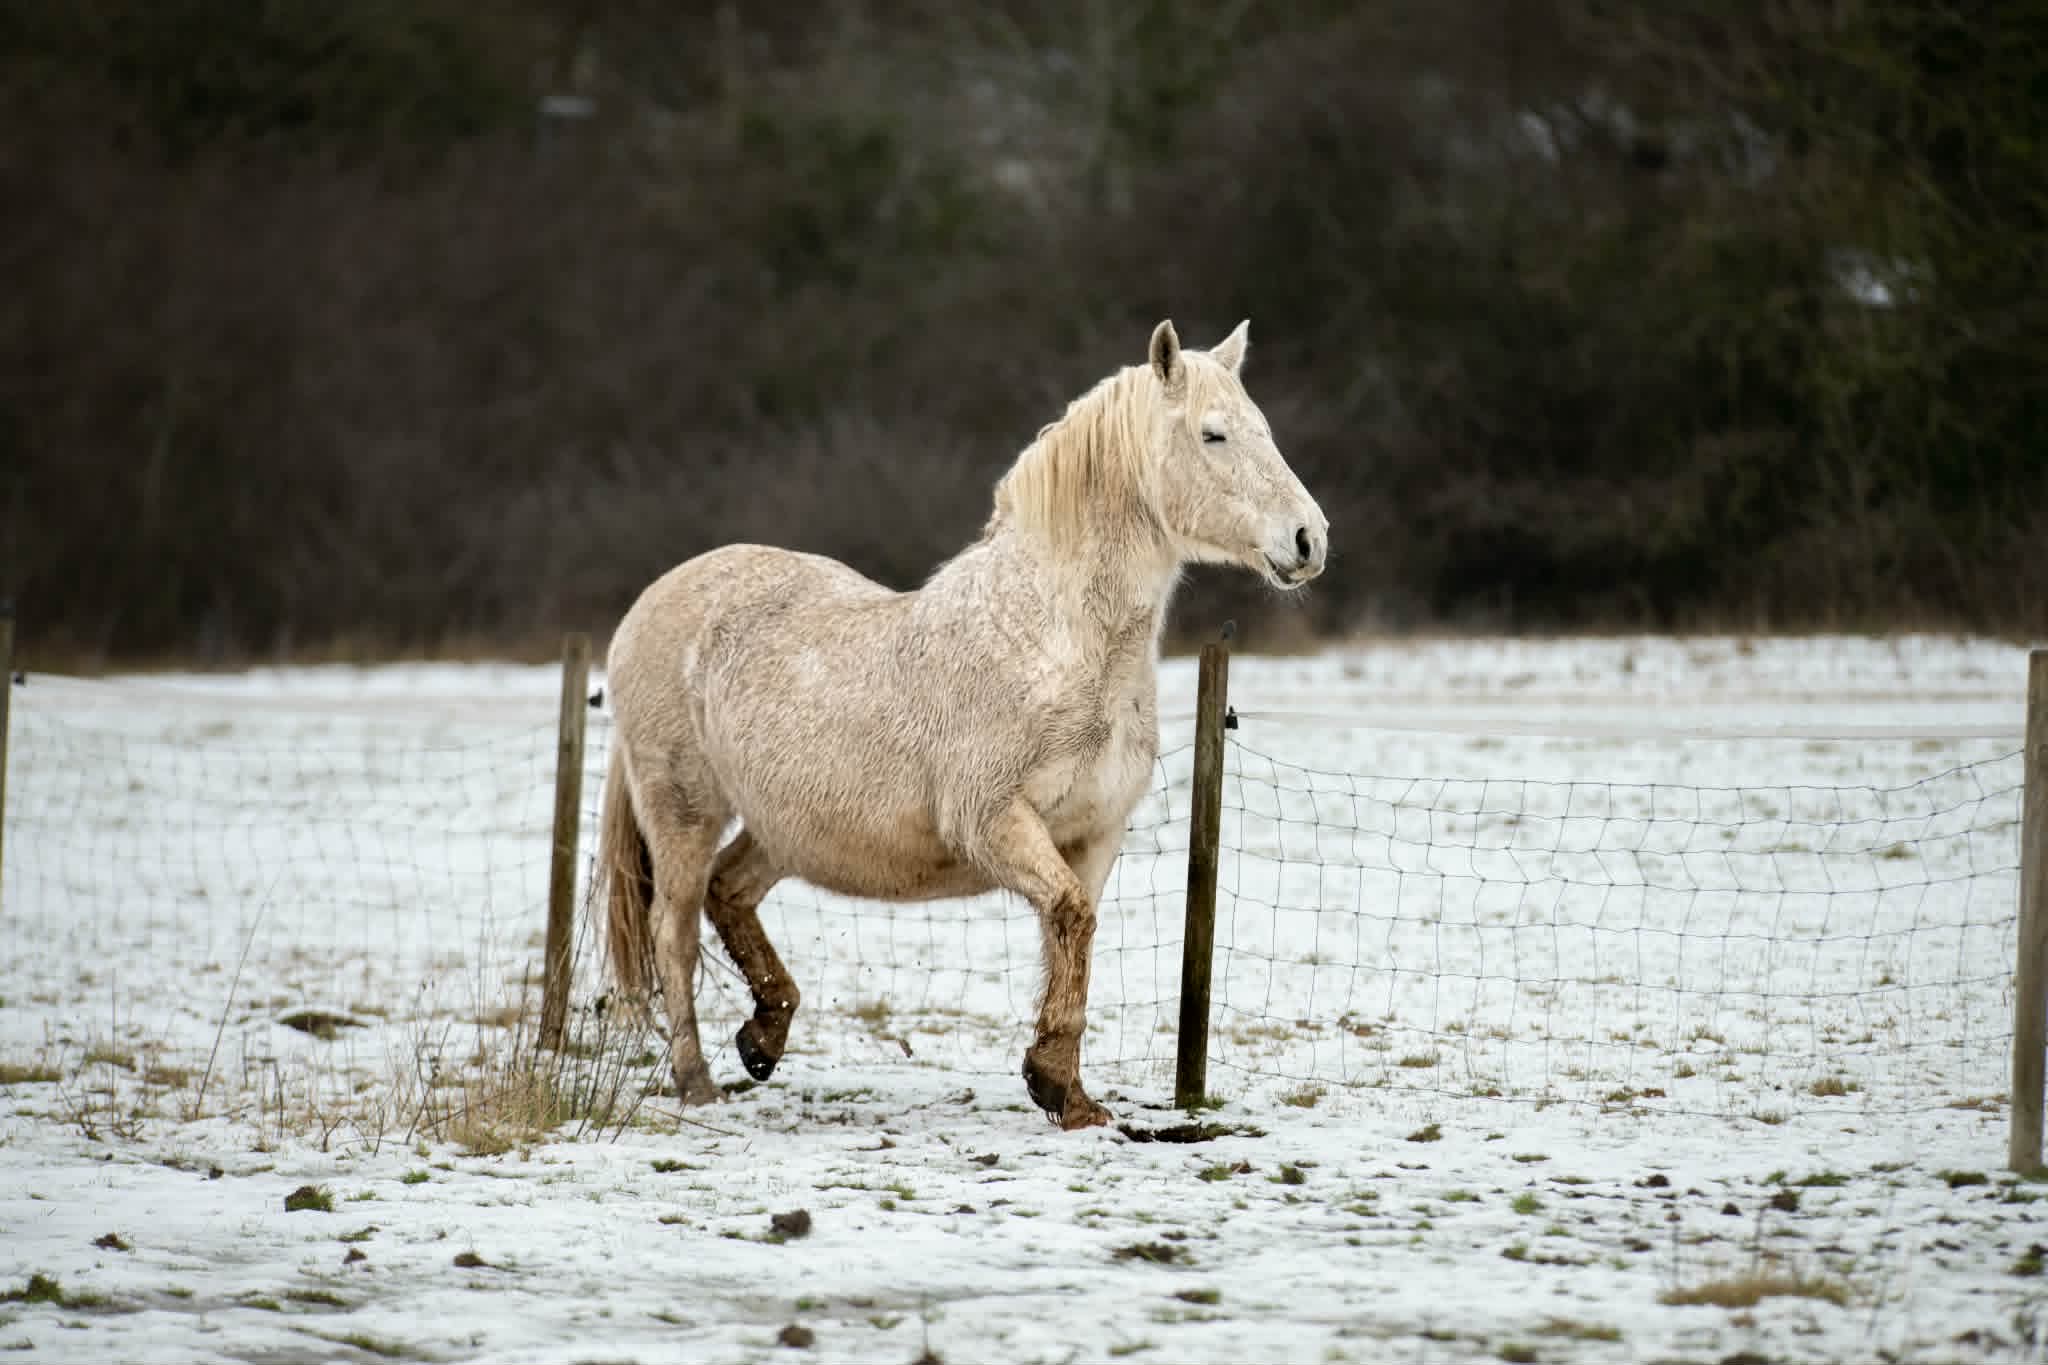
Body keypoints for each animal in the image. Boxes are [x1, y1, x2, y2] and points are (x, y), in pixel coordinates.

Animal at [594, 319, 1327, 1130]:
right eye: (1213, 434)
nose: (1309, 539)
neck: (1052, 637)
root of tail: (649, 604)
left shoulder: (1093, 835)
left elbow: (1073, 934)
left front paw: (1070, 1095)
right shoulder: (991, 822)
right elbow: (1070, 917)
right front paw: (1054, 1085)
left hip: (785, 827)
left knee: (730, 891)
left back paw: (764, 1037)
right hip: (683, 812)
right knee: (674, 932)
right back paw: (697, 1082)